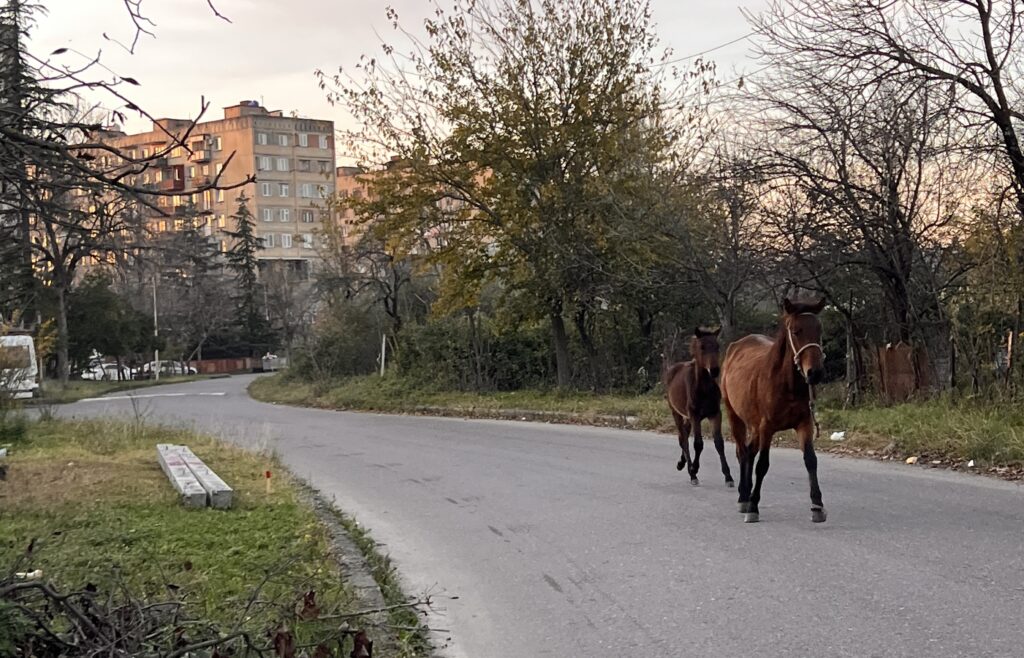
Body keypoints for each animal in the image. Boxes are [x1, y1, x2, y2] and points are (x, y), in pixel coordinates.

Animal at [663, 327, 735, 487]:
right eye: (702, 347)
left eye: (717, 346)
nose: (715, 370)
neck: (704, 389)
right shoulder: (695, 415)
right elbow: (698, 443)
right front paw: (694, 471)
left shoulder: (715, 413)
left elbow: (719, 443)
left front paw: (728, 476)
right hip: (676, 412)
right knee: (683, 439)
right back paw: (689, 470)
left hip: (688, 417)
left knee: (683, 435)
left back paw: (681, 463)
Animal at [720, 298, 827, 523]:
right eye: (796, 331)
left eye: (819, 329)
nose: (815, 373)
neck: (786, 383)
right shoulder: (767, 427)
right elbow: (762, 465)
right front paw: (753, 506)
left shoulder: (804, 423)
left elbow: (811, 461)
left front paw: (817, 506)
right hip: (736, 417)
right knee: (742, 452)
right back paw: (743, 497)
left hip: (754, 424)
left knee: (749, 452)